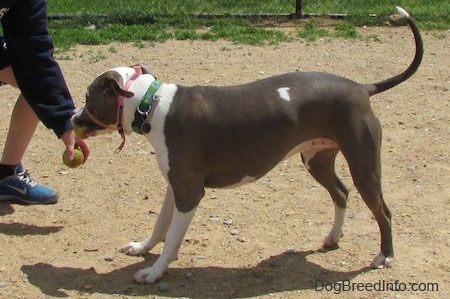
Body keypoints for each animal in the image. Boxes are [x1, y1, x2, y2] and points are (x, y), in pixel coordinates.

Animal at [73, 7, 422, 284]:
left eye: (88, 97)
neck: (153, 104)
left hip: (363, 164)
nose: (73, 116)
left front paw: (154, 271)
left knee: (383, 211)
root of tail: (361, 88)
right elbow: (160, 224)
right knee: (341, 193)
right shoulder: (175, 185)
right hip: (317, 159)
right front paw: (142, 248)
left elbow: (172, 238)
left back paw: (385, 257)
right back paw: (333, 237)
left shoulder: (189, 192)